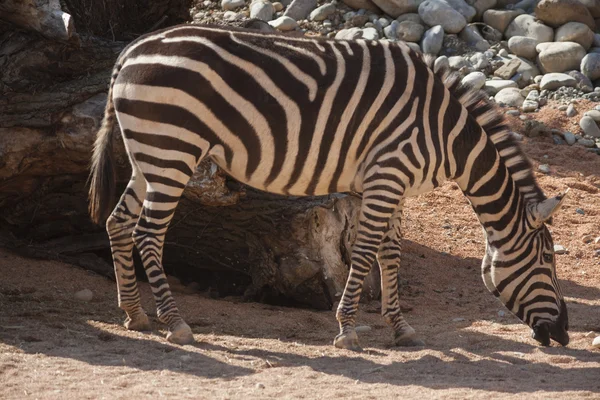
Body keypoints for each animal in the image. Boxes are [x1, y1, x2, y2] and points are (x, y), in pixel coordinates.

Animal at [86, 22, 568, 350]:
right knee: (148, 234)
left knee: (118, 222)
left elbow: (390, 253)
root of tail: (131, 50)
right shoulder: (388, 175)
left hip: (150, 155)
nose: (564, 335)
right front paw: (348, 330)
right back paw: (175, 323)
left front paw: (400, 328)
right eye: (546, 261)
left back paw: (134, 315)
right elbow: (367, 250)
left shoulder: (391, 184)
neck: (446, 134)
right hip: (174, 151)